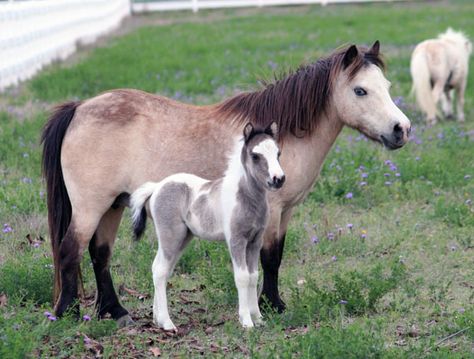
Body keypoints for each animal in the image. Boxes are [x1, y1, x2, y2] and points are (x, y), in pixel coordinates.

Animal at [131, 122, 286, 330]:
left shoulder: (255, 242)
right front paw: (246, 321)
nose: (278, 179)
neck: (245, 198)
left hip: (183, 238)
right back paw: (167, 323)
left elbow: (253, 276)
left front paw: (259, 318)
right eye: (255, 155)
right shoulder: (236, 241)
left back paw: (157, 319)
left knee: (160, 268)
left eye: (278, 153)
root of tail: (157, 187)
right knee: (161, 271)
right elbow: (242, 277)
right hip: (170, 236)